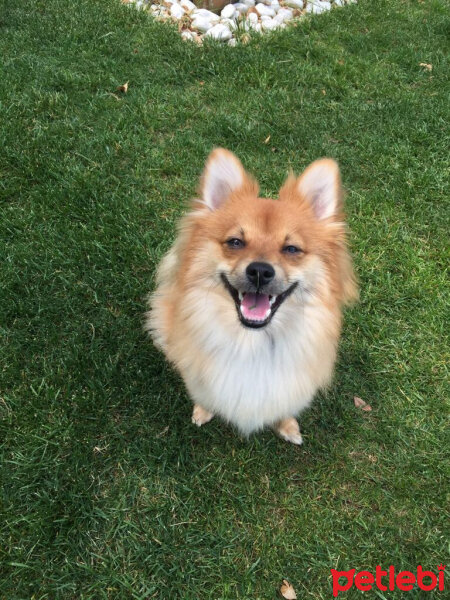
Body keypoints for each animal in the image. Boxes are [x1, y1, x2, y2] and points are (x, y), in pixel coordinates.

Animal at [146, 148, 356, 442]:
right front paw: (203, 410)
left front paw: (288, 426)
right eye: (235, 242)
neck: (252, 343)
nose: (259, 271)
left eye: (291, 249)